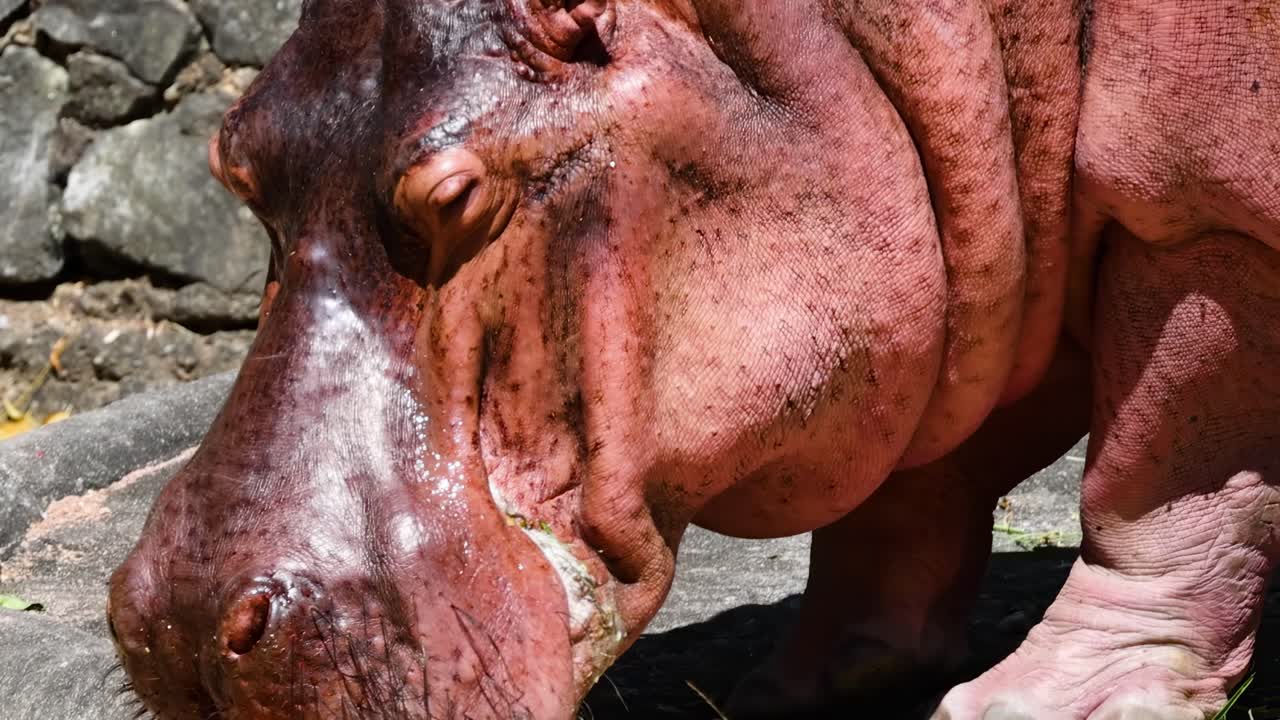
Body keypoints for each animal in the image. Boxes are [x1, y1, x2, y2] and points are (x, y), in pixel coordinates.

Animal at [106, 0, 1280, 718]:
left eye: (456, 197)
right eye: (231, 158)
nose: (176, 630)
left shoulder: (1199, 217)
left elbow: (1152, 485)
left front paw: (1027, 704)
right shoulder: (959, 257)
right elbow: (907, 489)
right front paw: (803, 684)